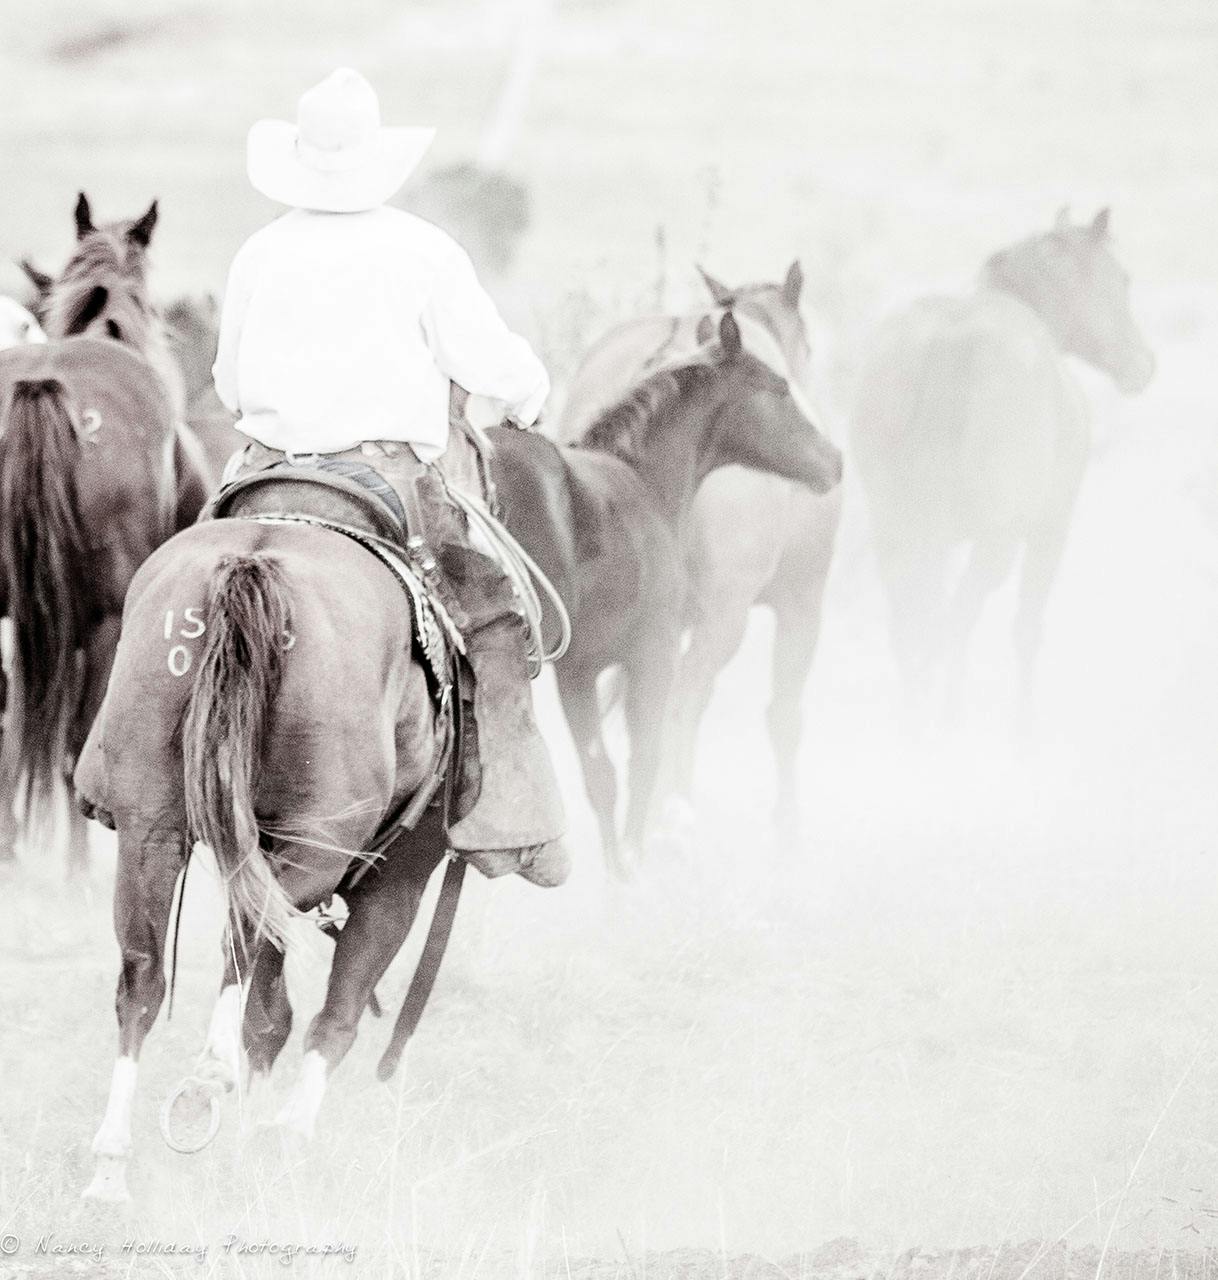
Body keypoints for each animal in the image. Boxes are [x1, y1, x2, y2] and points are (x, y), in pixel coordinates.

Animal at [491, 307, 844, 880]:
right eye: (779, 388)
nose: (834, 460)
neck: (639, 483)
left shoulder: (579, 672)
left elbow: (601, 775)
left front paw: (620, 878)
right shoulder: (651, 654)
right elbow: (646, 758)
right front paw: (638, 867)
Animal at [844, 209, 1151, 732]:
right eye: (1123, 278)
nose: (1144, 365)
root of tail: (945, 345)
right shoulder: (1051, 529)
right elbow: (1026, 629)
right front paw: (1023, 729)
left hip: (898, 536)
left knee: (914, 631)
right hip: (995, 543)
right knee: (952, 622)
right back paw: (945, 721)